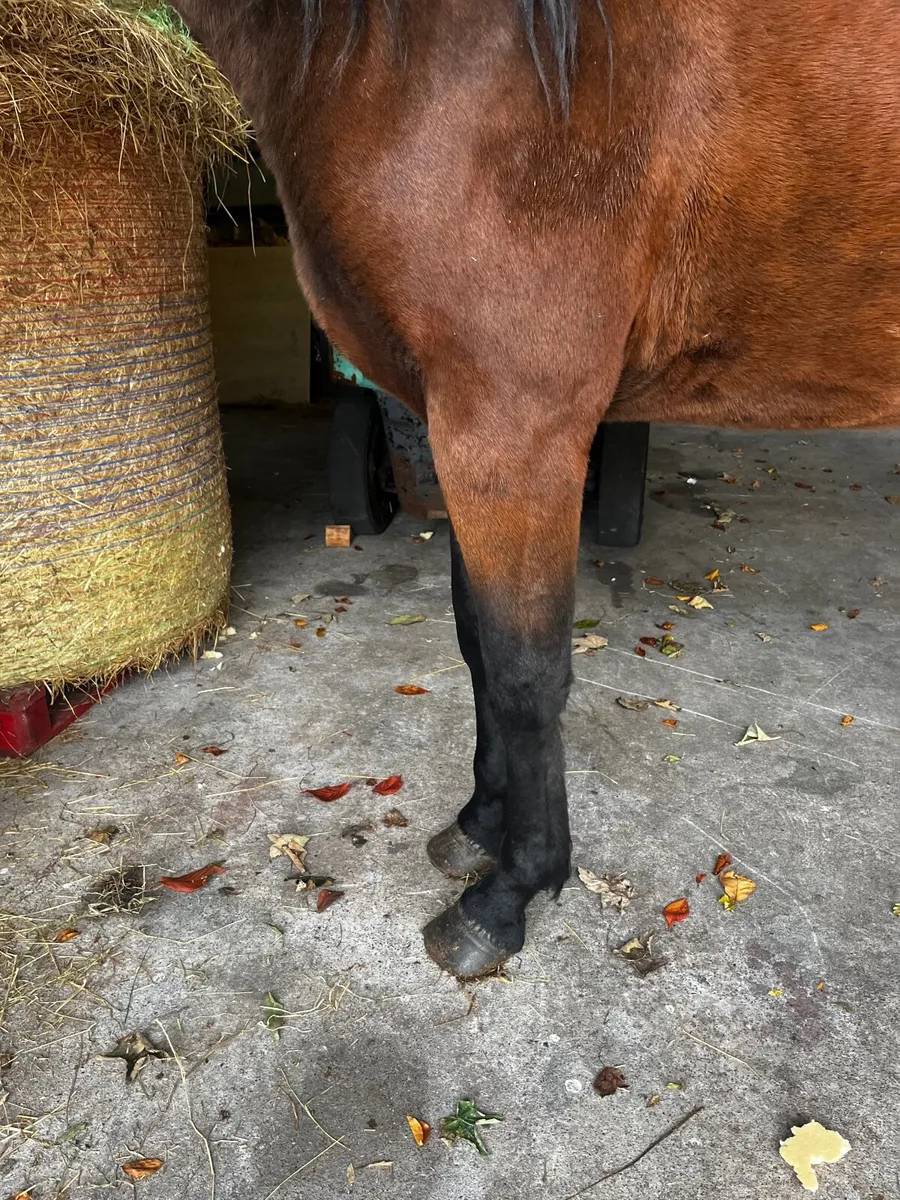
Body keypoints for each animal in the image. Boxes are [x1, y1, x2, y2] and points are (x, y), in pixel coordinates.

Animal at [169, 0, 900, 979]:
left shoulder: (513, 430)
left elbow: (523, 672)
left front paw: (509, 892)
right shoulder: (454, 426)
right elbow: (477, 643)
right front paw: (480, 827)